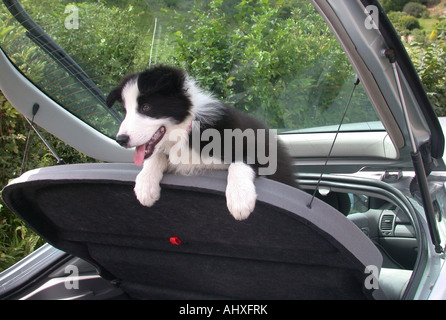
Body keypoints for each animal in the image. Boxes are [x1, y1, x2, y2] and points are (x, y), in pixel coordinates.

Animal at [106, 65, 298, 220]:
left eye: (146, 107)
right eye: (125, 111)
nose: (121, 140)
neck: (186, 131)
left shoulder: (256, 147)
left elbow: (239, 163)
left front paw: (239, 199)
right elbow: (156, 156)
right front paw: (145, 186)